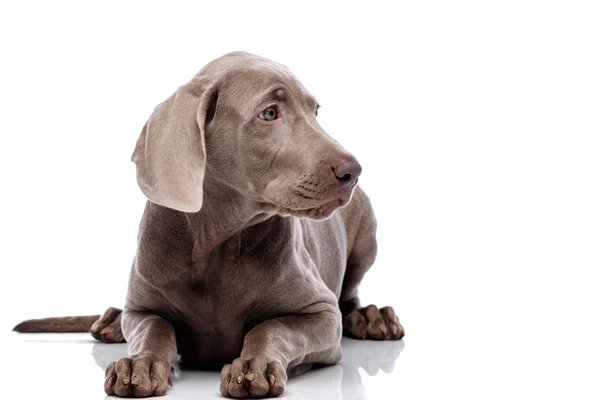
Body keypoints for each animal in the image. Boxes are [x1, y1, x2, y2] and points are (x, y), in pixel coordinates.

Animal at [14, 51, 406, 398]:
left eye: (315, 111)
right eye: (269, 113)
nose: (353, 172)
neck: (217, 241)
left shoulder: (321, 314)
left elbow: (274, 327)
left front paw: (253, 366)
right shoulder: (143, 308)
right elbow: (154, 328)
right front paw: (139, 365)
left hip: (366, 236)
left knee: (350, 297)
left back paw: (373, 317)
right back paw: (111, 321)